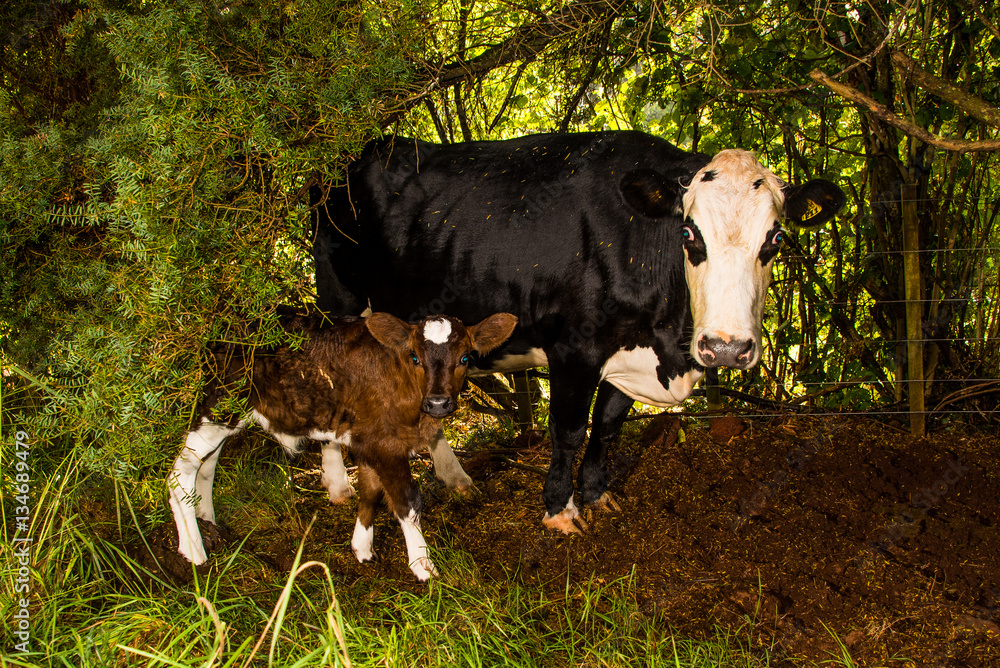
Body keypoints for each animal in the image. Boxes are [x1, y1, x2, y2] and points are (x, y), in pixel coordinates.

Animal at [169, 312, 516, 580]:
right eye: (415, 357)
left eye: (465, 358)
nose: (438, 403)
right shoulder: (385, 443)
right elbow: (406, 501)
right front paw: (422, 565)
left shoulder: (369, 439)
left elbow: (371, 491)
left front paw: (362, 549)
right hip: (219, 404)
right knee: (180, 472)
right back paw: (193, 550)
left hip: (229, 416)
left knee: (207, 465)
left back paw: (207, 519)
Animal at [312, 130, 844, 532]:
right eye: (689, 234)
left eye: (776, 239)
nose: (727, 348)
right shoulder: (574, 349)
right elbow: (568, 431)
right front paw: (559, 509)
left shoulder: (627, 353)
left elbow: (608, 426)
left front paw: (595, 494)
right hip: (338, 302)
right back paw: (338, 485)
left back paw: (453, 476)